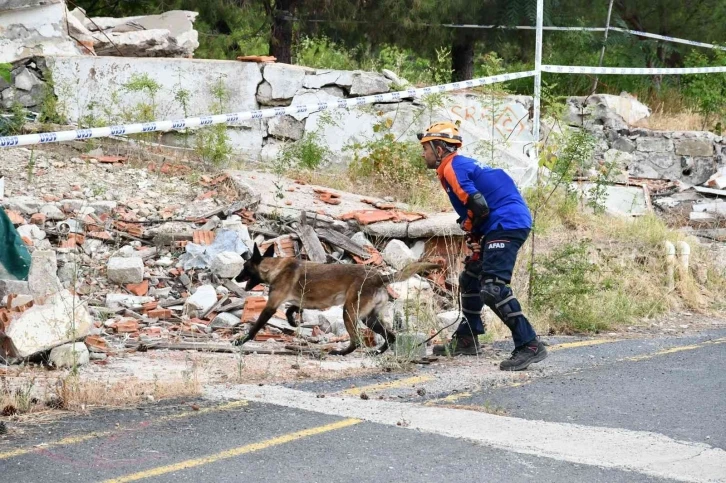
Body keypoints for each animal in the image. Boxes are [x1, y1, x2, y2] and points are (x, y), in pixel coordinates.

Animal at [235, 246, 438, 356]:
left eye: (244, 267)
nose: (236, 278)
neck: (275, 267)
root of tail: (378, 277)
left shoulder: (270, 307)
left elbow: (255, 326)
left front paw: (242, 340)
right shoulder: (305, 301)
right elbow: (291, 309)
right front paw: (292, 320)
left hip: (349, 313)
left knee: (357, 341)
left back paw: (340, 352)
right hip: (368, 318)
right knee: (391, 336)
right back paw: (377, 352)